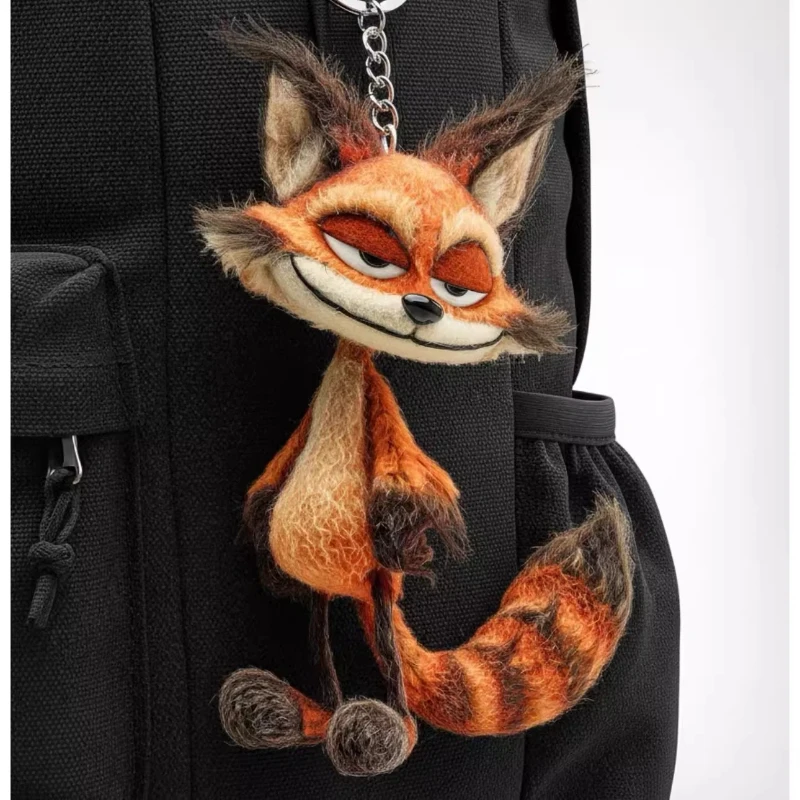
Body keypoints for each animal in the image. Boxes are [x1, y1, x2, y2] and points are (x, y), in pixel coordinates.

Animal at [197, 24, 634, 778]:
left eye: (461, 284)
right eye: (370, 255)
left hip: (376, 587)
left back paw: (378, 729)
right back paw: (298, 715)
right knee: (320, 631)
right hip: (328, 594)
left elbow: (407, 479)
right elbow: (274, 481)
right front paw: (260, 518)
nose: (423, 307)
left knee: (387, 657)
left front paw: (405, 521)